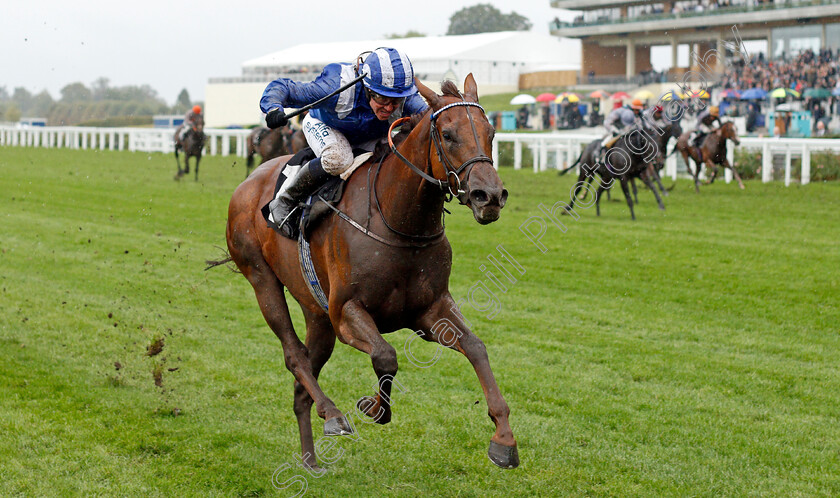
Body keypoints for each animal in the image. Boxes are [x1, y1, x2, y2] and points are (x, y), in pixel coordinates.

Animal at [220, 77, 516, 470]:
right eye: (448, 134)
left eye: (491, 132)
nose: (490, 196)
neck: (399, 221)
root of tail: (248, 183)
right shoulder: (346, 312)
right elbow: (385, 356)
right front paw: (372, 407)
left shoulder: (431, 310)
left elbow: (476, 347)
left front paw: (504, 440)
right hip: (262, 280)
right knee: (294, 355)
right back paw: (331, 414)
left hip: (318, 315)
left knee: (302, 381)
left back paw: (310, 458)